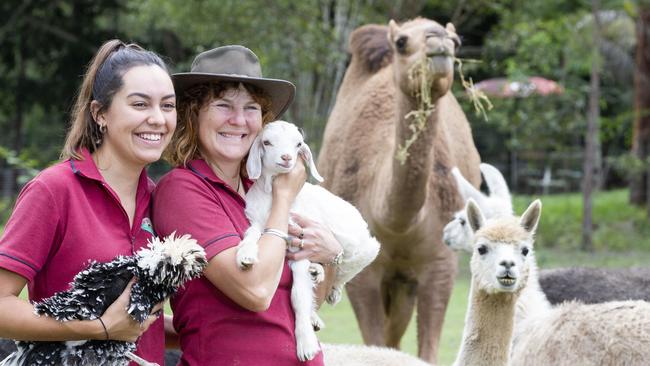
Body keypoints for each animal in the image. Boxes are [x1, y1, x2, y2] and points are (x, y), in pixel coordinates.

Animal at [235, 121, 380, 362]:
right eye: (267, 142)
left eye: (298, 144)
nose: (286, 158)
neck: (273, 198)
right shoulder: (256, 221)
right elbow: (250, 234)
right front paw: (245, 255)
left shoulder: (299, 246)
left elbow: (298, 296)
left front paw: (305, 345)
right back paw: (316, 275)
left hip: (363, 247)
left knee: (345, 270)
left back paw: (331, 290)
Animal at [316, 17, 478, 364]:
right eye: (402, 42)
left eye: (457, 41)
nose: (439, 41)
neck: (400, 223)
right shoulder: (363, 273)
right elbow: (373, 341)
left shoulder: (440, 264)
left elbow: (428, 350)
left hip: (406, 280)